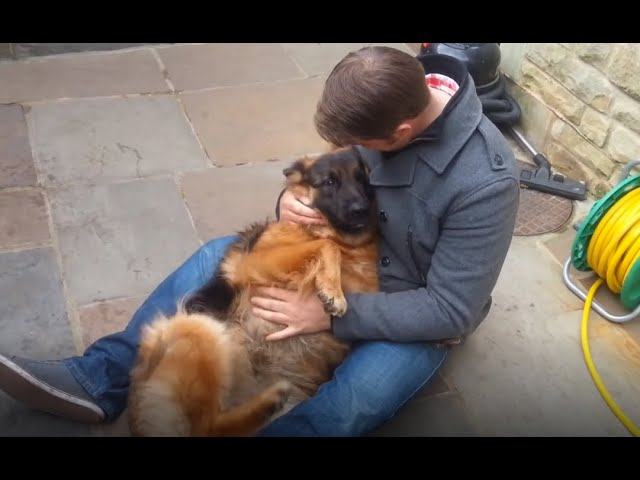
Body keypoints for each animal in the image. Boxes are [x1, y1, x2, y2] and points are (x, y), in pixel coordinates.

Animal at [130, 148, 380, 436]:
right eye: (330, 182)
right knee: (206, 427)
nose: (361, 210)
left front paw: (330, 285)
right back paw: (268, 401)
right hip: (201, 327)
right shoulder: (258, 261)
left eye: (363, 179)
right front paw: (332, 291)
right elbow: (327, 246)